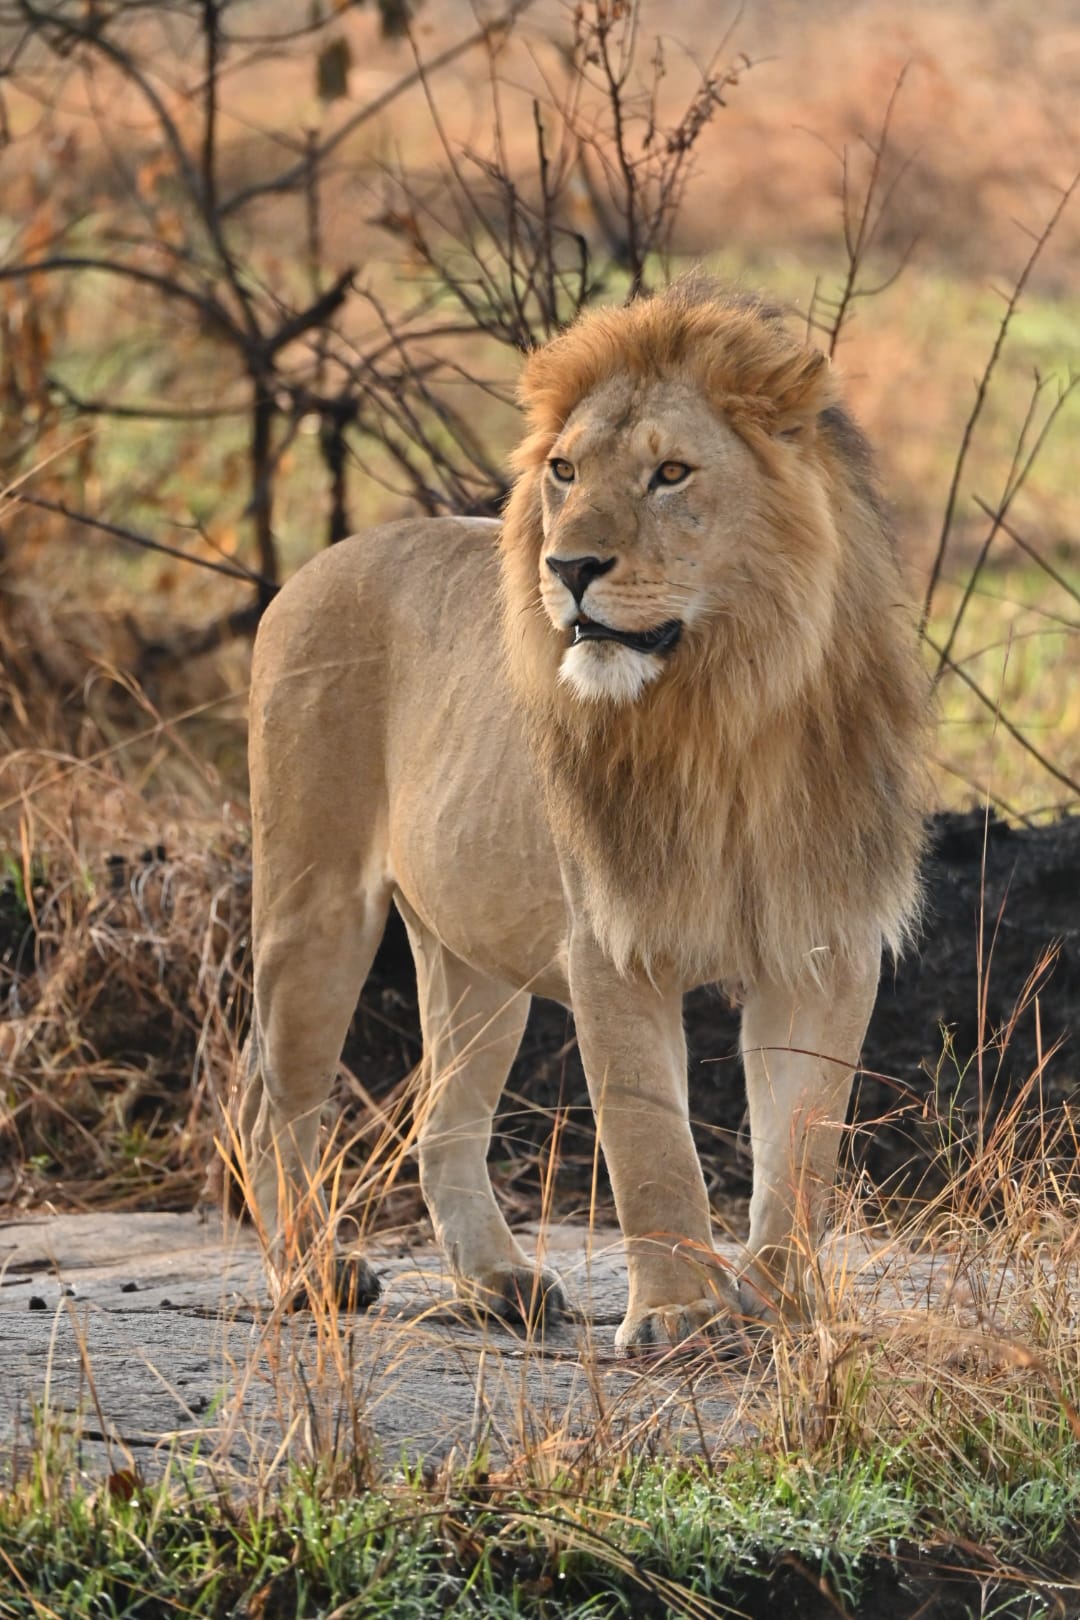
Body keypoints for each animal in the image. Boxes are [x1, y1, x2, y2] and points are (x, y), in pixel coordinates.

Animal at [236, 279, 927, 1350]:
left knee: (441, 1119)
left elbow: (804, 1146)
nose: (567, 568)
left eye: (671, 473)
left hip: (474, 962)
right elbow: (651, 1141)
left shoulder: (824, 945)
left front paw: (784, 1306)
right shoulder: (611, 945)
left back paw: (497, 1282)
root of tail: (319, 562)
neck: (725, 711)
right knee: (276, 1102)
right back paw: (313, 1270)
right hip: (312, 906)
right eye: (564, 471)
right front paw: (681, 1315)